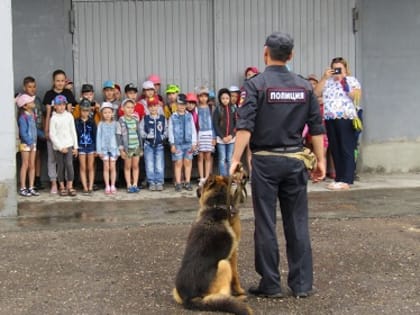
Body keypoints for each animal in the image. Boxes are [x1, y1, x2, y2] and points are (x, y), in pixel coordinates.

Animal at [171, 165, 251, 315]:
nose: (198, 181)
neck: (215, 208)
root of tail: (189, 298)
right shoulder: (233, 254)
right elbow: (236, 276)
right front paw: (239, 291)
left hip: (175, 291)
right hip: (223, 264)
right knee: (221, 295)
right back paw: (237, 299)